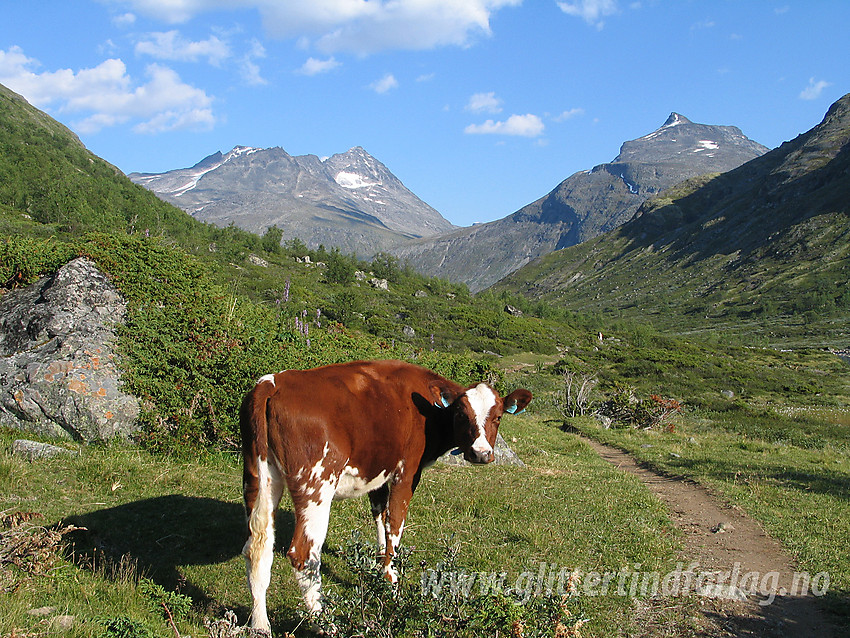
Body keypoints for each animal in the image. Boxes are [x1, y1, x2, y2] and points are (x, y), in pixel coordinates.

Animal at [238, 360, 528, 632]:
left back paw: (261, 625)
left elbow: (380, 516)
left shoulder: (378, 471)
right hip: (316, 483)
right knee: (303, 555)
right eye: (461, 414)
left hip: (258, 477)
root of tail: (273, 382)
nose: (481, 453)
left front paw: (379, 566)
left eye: (498, 417)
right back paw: (325, 623)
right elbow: (396, 522)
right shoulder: (407, 472)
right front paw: (391, 579)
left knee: (257, 548)